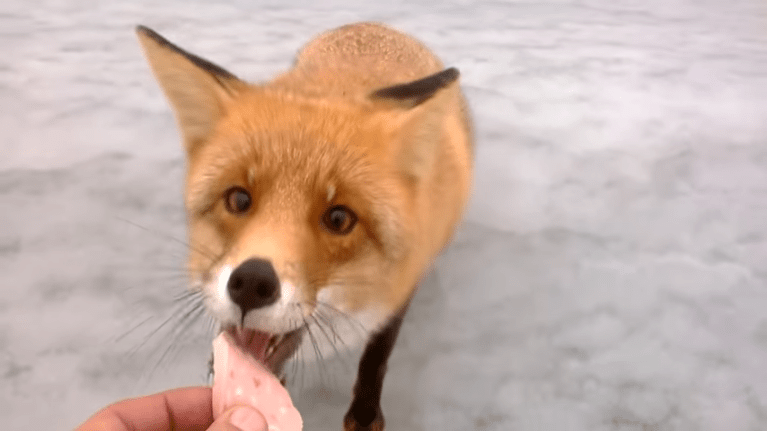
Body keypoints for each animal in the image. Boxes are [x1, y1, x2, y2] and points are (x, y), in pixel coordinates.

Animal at [136, 22, 474, 430]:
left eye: (339, 219)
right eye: (238, 200)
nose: (251, 283)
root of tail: (377, 26)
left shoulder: (401, 288)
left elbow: (376, 355)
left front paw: (364, 413)